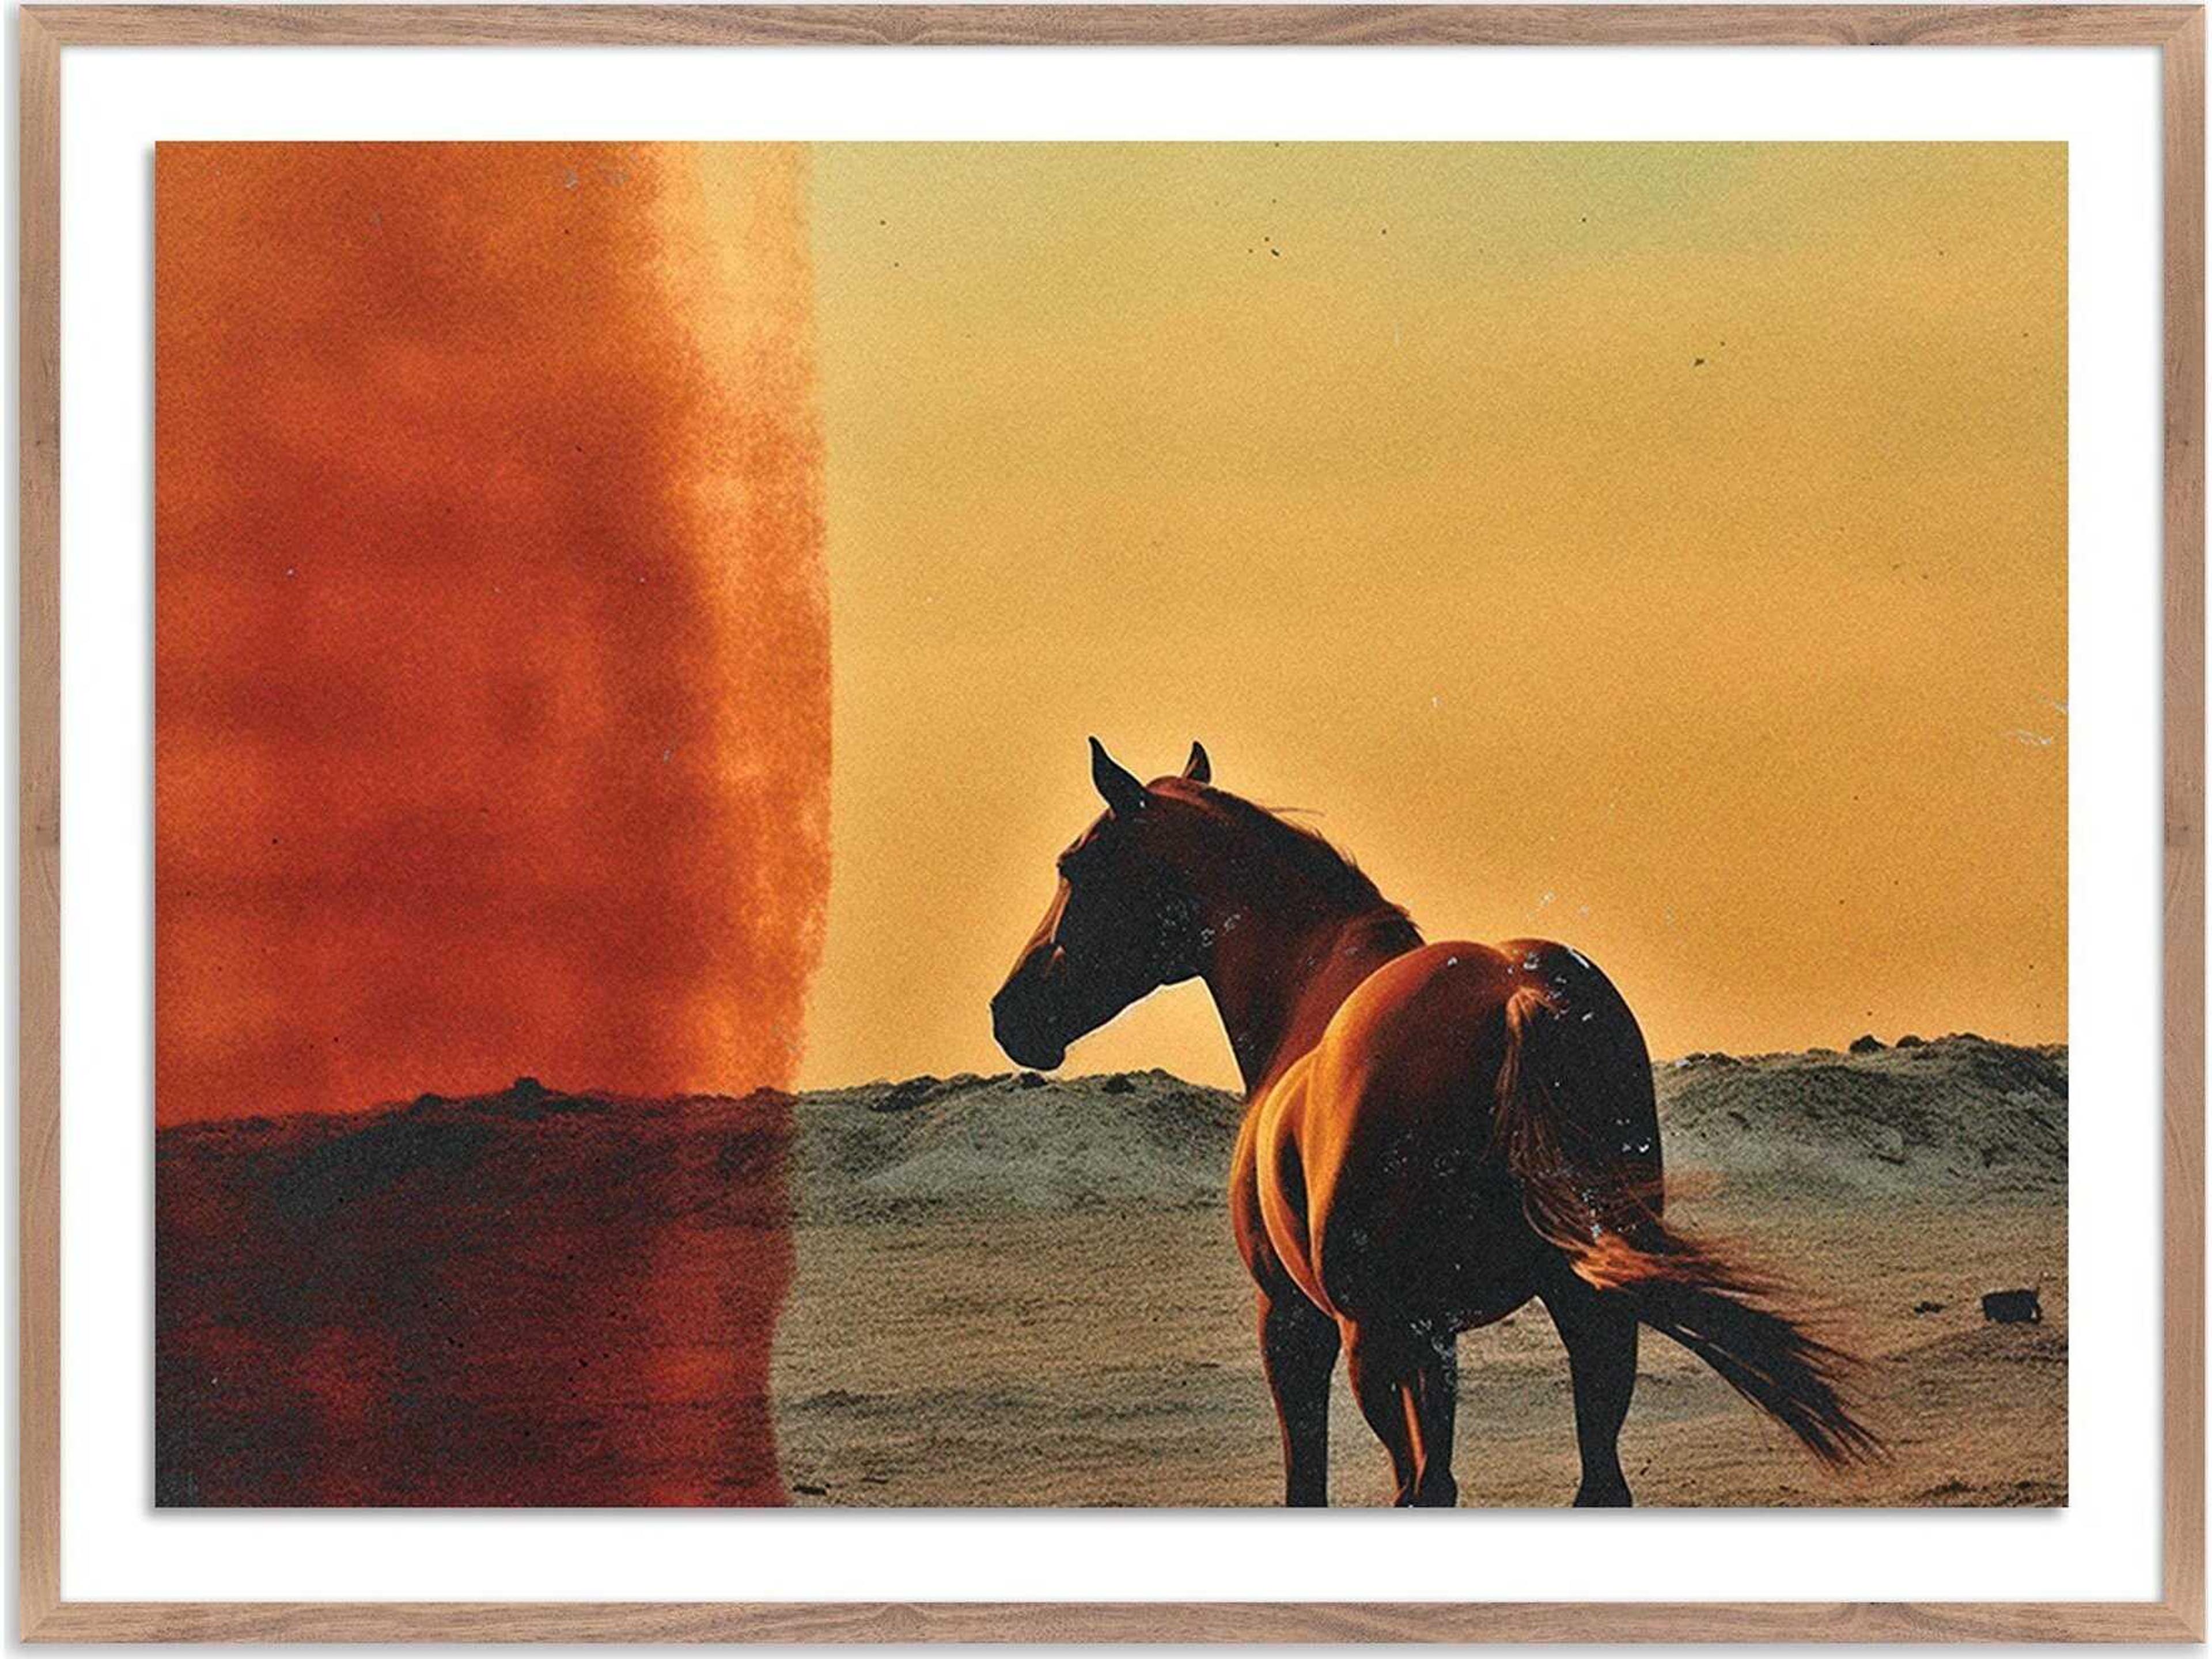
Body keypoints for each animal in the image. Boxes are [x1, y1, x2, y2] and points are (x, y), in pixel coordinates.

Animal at [991, 738, 1877, 1507]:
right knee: (1595, 1484)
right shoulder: (1438, 1336)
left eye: (1074, 866)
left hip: (1379, 1342)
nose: (1011, 1013)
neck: (1310, 988)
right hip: (1588, 1314)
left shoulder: (1298, 1323)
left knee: (1426, 1490)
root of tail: (1520, 997)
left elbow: (1313, 1487)